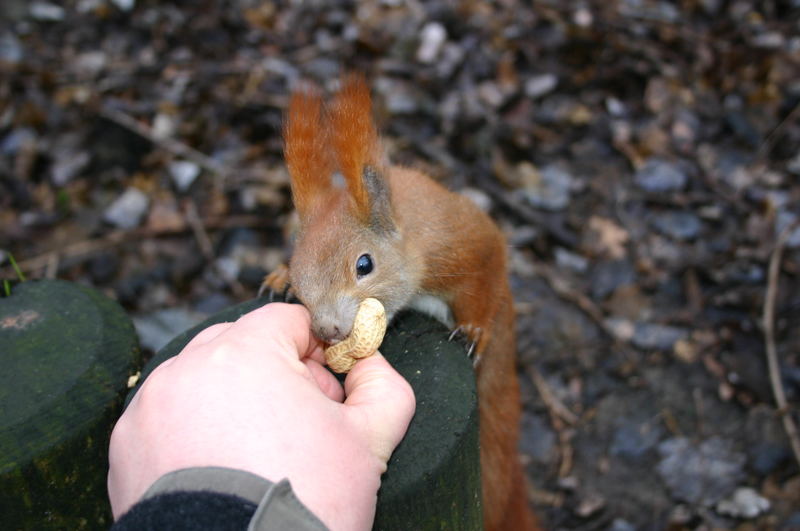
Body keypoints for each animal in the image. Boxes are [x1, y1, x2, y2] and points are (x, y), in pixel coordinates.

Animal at [262, 76, 536, 531]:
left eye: (364, 264)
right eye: (300, 277)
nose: (327, 330)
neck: (410, 231)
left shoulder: (460, 246)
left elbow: (488, 266)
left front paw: (474, 330)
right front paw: (277, 277)